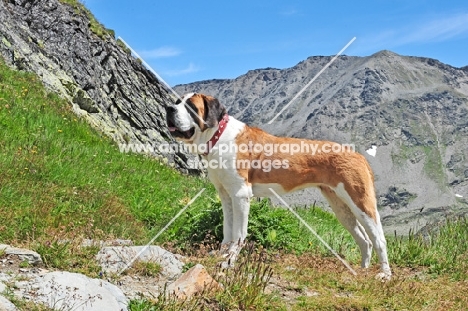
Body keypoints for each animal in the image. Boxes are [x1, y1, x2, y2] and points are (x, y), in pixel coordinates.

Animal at [165, 92, 392, 280]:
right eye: (177, 102)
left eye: (191, 107)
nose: (169, 108)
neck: (218, 136)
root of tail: (358, 155)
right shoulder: (226, 196)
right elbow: (227, 231)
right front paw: (221, 256)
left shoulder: (240, 195)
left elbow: (239, 234)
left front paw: (229, 262)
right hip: (341, 208)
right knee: (364, 240)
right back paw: (362, 271)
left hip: (361, 203)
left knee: (379, 239)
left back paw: (384, 275)